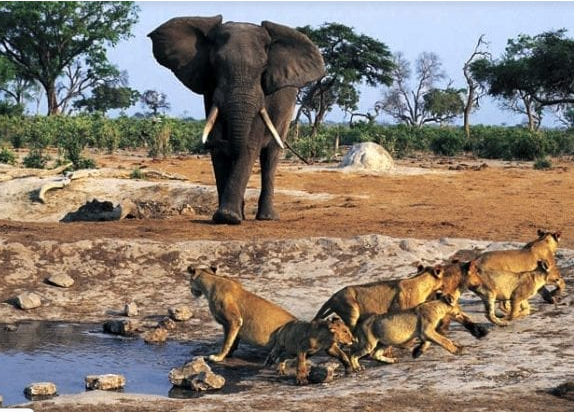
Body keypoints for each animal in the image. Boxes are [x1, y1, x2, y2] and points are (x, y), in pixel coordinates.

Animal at [148, 16, 326, 224]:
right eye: (216, 64)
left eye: (263, 67)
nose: (210, 143)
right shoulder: (210, 91)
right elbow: (220, 151)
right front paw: (227, 216)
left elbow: (249, 145)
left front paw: (228, 217)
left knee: (271, 155)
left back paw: (267, 217)